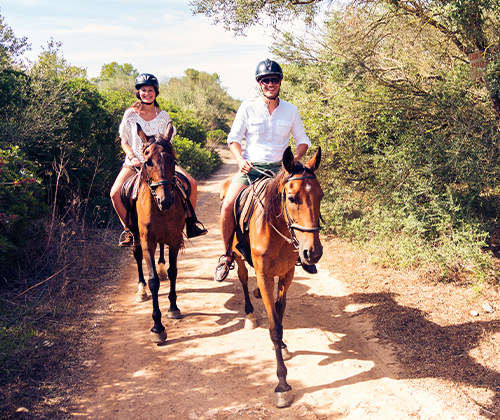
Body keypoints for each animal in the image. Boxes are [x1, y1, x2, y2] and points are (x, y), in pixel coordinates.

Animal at [224, 147, 324, 406]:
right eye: (292, 198)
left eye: (320, 196)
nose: (313, 253)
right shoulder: (265, 275)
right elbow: (274, 327)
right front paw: (282, 384)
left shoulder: (287, 274)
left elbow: (279, 314)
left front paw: (283, 346)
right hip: (237, 256)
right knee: (242, 278)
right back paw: (249, 314)